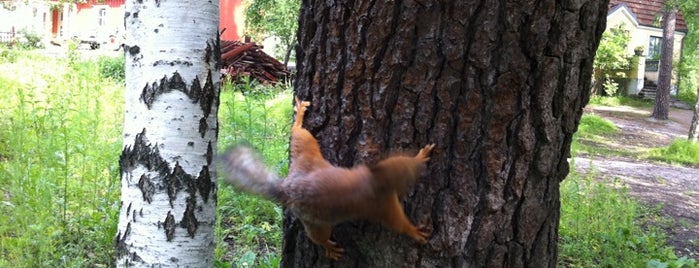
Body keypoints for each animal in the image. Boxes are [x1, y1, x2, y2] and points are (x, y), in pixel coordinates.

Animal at [221, 97, 434, 258]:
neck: (375, 181)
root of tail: (288, 187)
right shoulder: (384, 207)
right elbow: (398, 224)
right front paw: (414, 231)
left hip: (306, 156)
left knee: (298, 134)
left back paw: (298, 117)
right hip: (316, 222)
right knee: (319, 237)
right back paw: (328, 247)